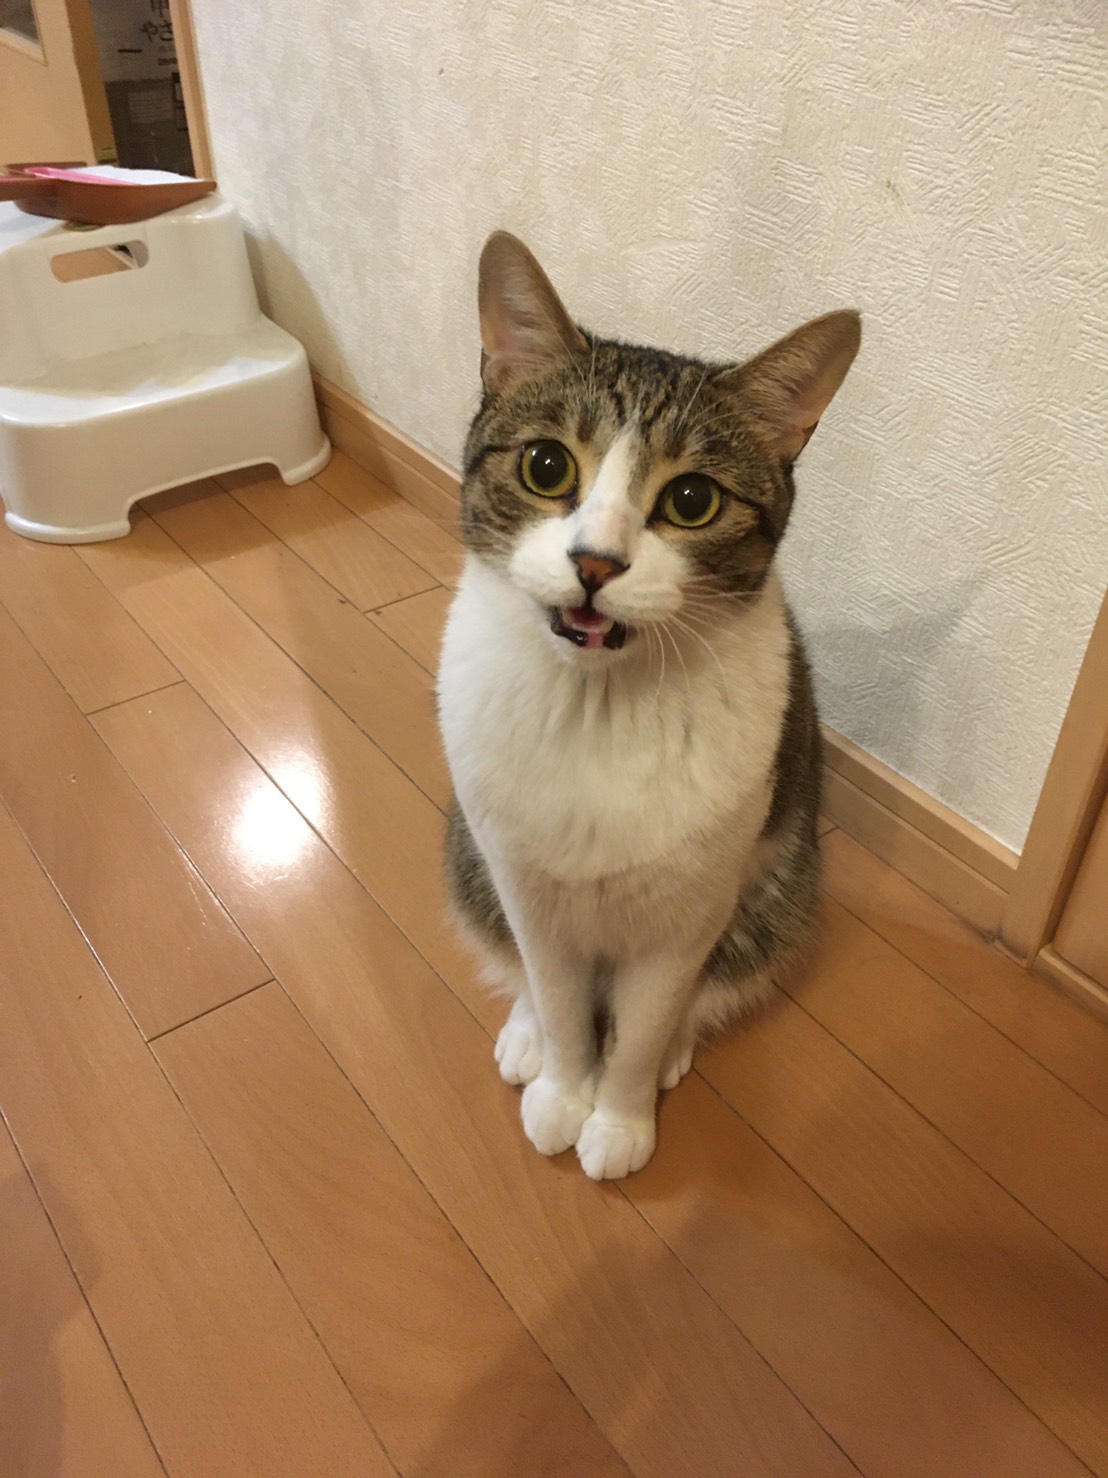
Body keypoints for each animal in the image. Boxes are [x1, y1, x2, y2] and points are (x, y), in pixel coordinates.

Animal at [437, 231, 860, 1180]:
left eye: (692, 499)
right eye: (546, 465)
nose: (595, 561)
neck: (596, 705)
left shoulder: (688, 914)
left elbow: (641, 1027)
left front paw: (620, 1119)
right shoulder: (526, 886)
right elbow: (559, 1000)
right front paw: (562, 1089)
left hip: (779, 892)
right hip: (468, 855)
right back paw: (525, 1035)